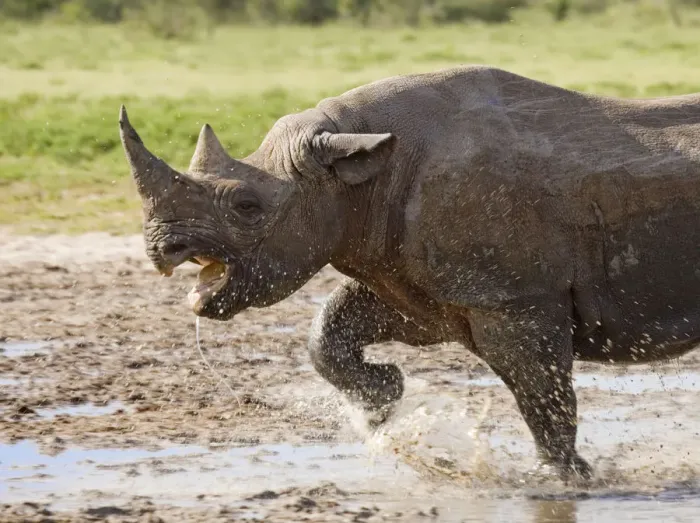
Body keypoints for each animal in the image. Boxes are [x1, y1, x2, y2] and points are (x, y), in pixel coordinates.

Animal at [119, 65, 700, 481]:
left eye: (246, 206)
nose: (162, 248)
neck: (359, 173)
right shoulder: (413, 281)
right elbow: (328, 332)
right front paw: (382, 402)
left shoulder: (512, 298)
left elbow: (542, 393)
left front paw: (559, 479)